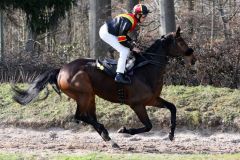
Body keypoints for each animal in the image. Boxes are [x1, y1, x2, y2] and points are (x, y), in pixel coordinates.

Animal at [12, 26, 195, 148]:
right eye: (180, 41)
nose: (193, 58)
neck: (146, 69)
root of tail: (61, 70)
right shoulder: (137, 104)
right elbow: (148, 125)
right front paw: (124, 129)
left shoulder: (152, 99)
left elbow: (172, 107)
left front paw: (171, 134)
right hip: (83, 94)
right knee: (80, 116)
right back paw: (107, 134)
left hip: (90, 96)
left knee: (88, 116)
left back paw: (109, 138)